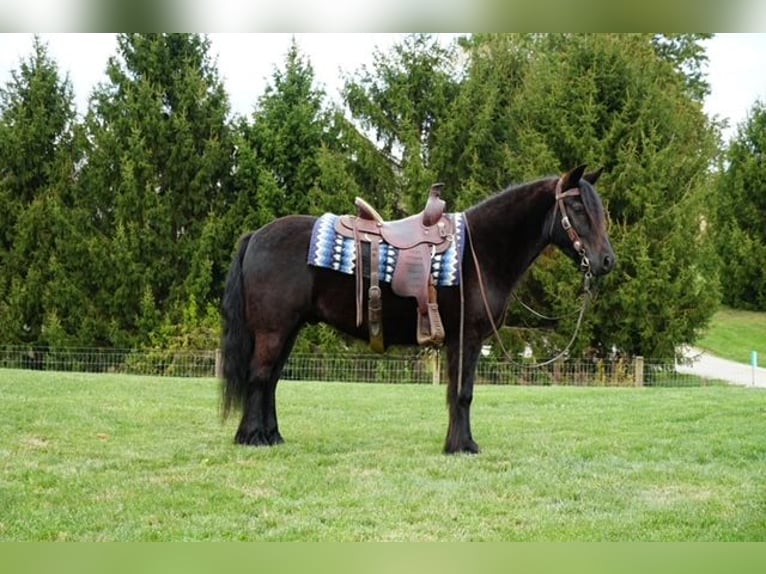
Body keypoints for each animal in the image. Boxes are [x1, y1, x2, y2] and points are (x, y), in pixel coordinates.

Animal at [220, 164, 616, 454]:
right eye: (577, 207)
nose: (606, 261)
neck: (479, 251)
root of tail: (255, 236)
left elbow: (459, 392)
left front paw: (459, 442)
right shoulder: (466, 339)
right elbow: (462, 393)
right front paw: (462, 446)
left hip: (289, 329)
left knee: (270, 380)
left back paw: (271, 436)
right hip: (273, 330)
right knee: (260, 377)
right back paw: (253, 437)